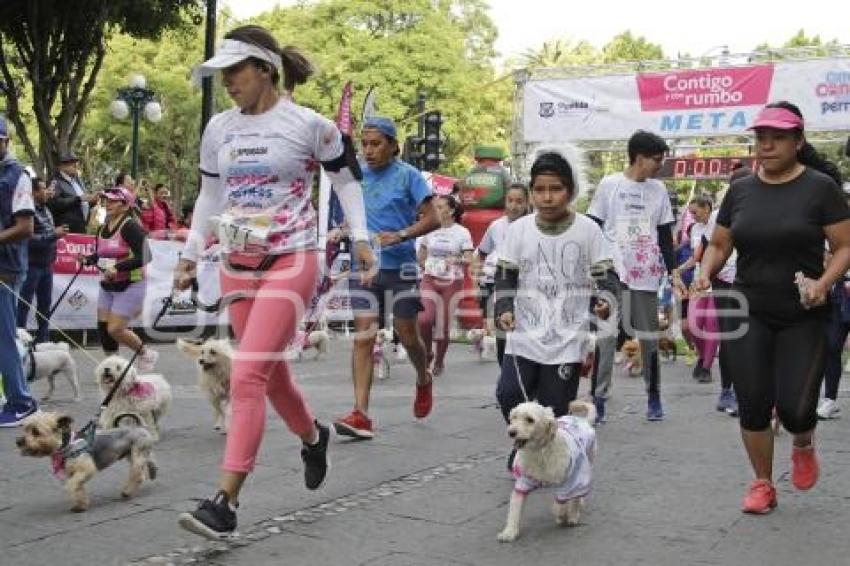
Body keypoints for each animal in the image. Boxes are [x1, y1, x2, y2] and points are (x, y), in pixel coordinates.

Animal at [16, 412, 156, 516]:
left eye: (36, 431)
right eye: (25, 429)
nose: (18, 441)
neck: (66, 446)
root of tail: (139, 427)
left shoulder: (85, 471)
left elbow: (71, 485)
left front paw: (78, 502)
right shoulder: (75, 474)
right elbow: (79, 489)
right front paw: (80, 505)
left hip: (137, 455)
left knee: (138, 475)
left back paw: (127, 491)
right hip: (133, 455)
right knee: (148, 461)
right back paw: (153, 472)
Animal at [496, 402, 596, 544]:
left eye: (530, 419)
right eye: (514, 417)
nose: (511, 432)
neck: (539, 452)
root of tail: (583, 421)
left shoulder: (572, 480)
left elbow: (561, 504)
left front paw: (564, 515)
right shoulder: (522, 484)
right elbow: (514, 510)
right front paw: (509, 532)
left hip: (584, 467)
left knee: (577, 496)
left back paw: (573, 514)